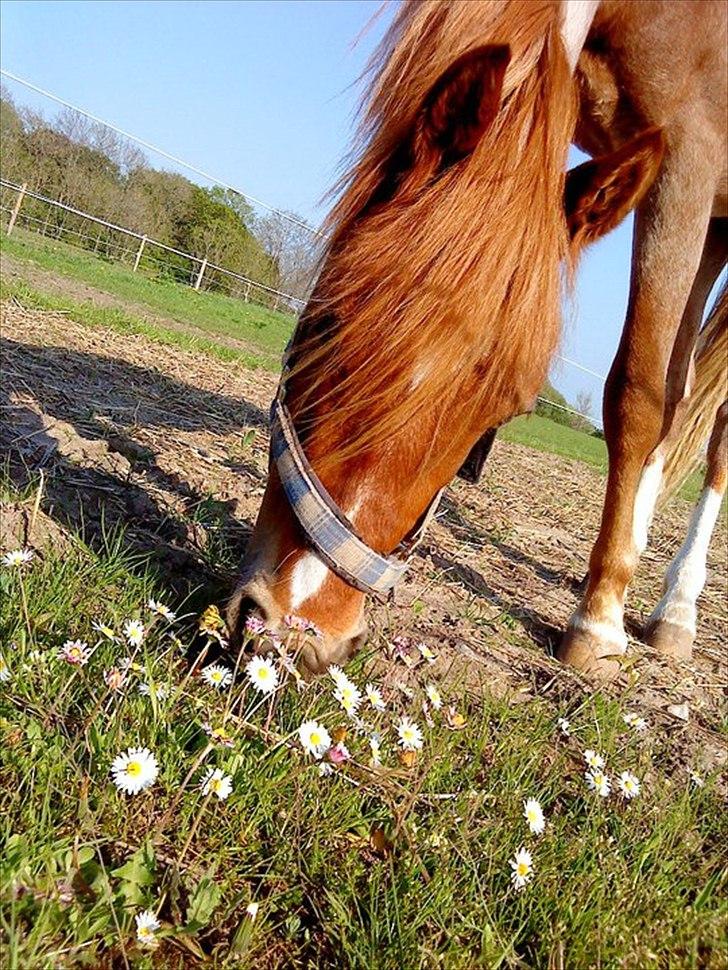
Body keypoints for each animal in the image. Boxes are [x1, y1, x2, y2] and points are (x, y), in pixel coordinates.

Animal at [229, 0, 728, 676]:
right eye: (325, 321)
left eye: (507, 411)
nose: (298, 633)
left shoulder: (690, 155)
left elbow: (638, 392)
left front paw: (599, 620)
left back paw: (673, 607)